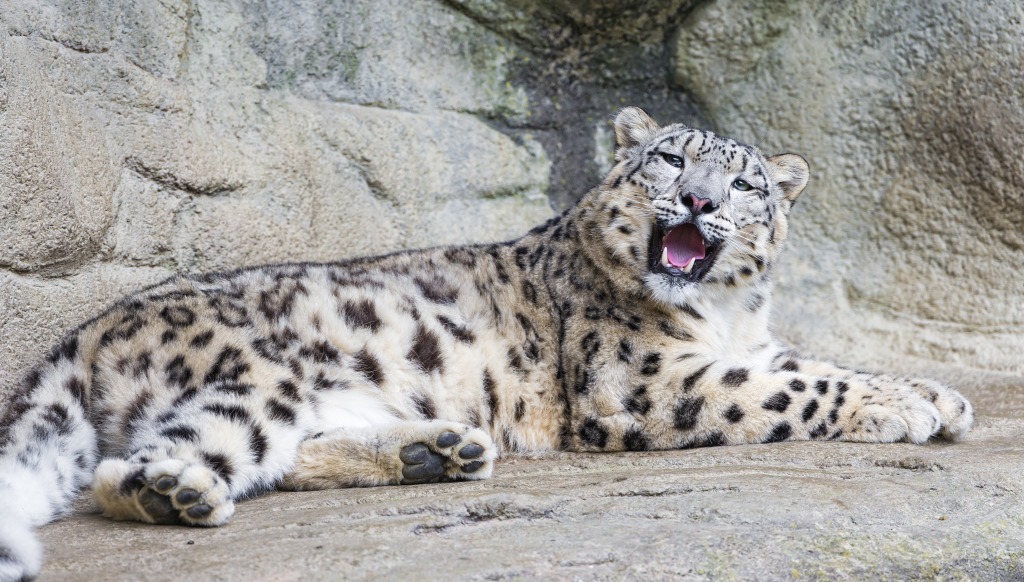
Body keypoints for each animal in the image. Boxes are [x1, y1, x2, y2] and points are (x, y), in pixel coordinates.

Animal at [0, 107, 972, 581]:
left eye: (745, 184)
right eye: (668, 160)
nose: (697, 202)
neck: (726, 314)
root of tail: (89, 329)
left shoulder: (751, 343)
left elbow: (812, 364)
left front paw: (938, 395)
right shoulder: (646, 381)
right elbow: (793, 389)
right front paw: (910, 406)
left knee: (288, 454)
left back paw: (437, 450)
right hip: (252, 382)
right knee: (133, 467)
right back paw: (176, 494)